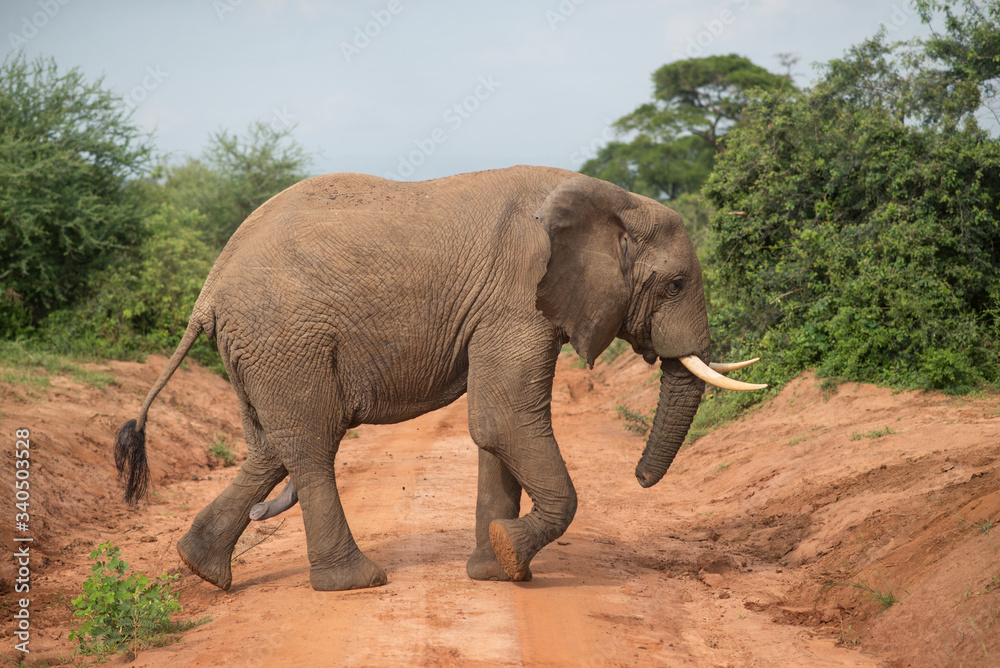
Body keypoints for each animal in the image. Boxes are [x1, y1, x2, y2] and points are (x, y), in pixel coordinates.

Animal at [113, 165, 764, 592]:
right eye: (676, 284)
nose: (640, 477)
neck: (613, 200)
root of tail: (208, 288)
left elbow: (495, 429)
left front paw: (494, 571)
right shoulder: (516, 300)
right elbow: (504, 419)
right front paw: (509, 555)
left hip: (263, 349)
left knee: (274, 446)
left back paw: (201, 568)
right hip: (284, 337)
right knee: (312, 443)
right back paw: (354, 582)